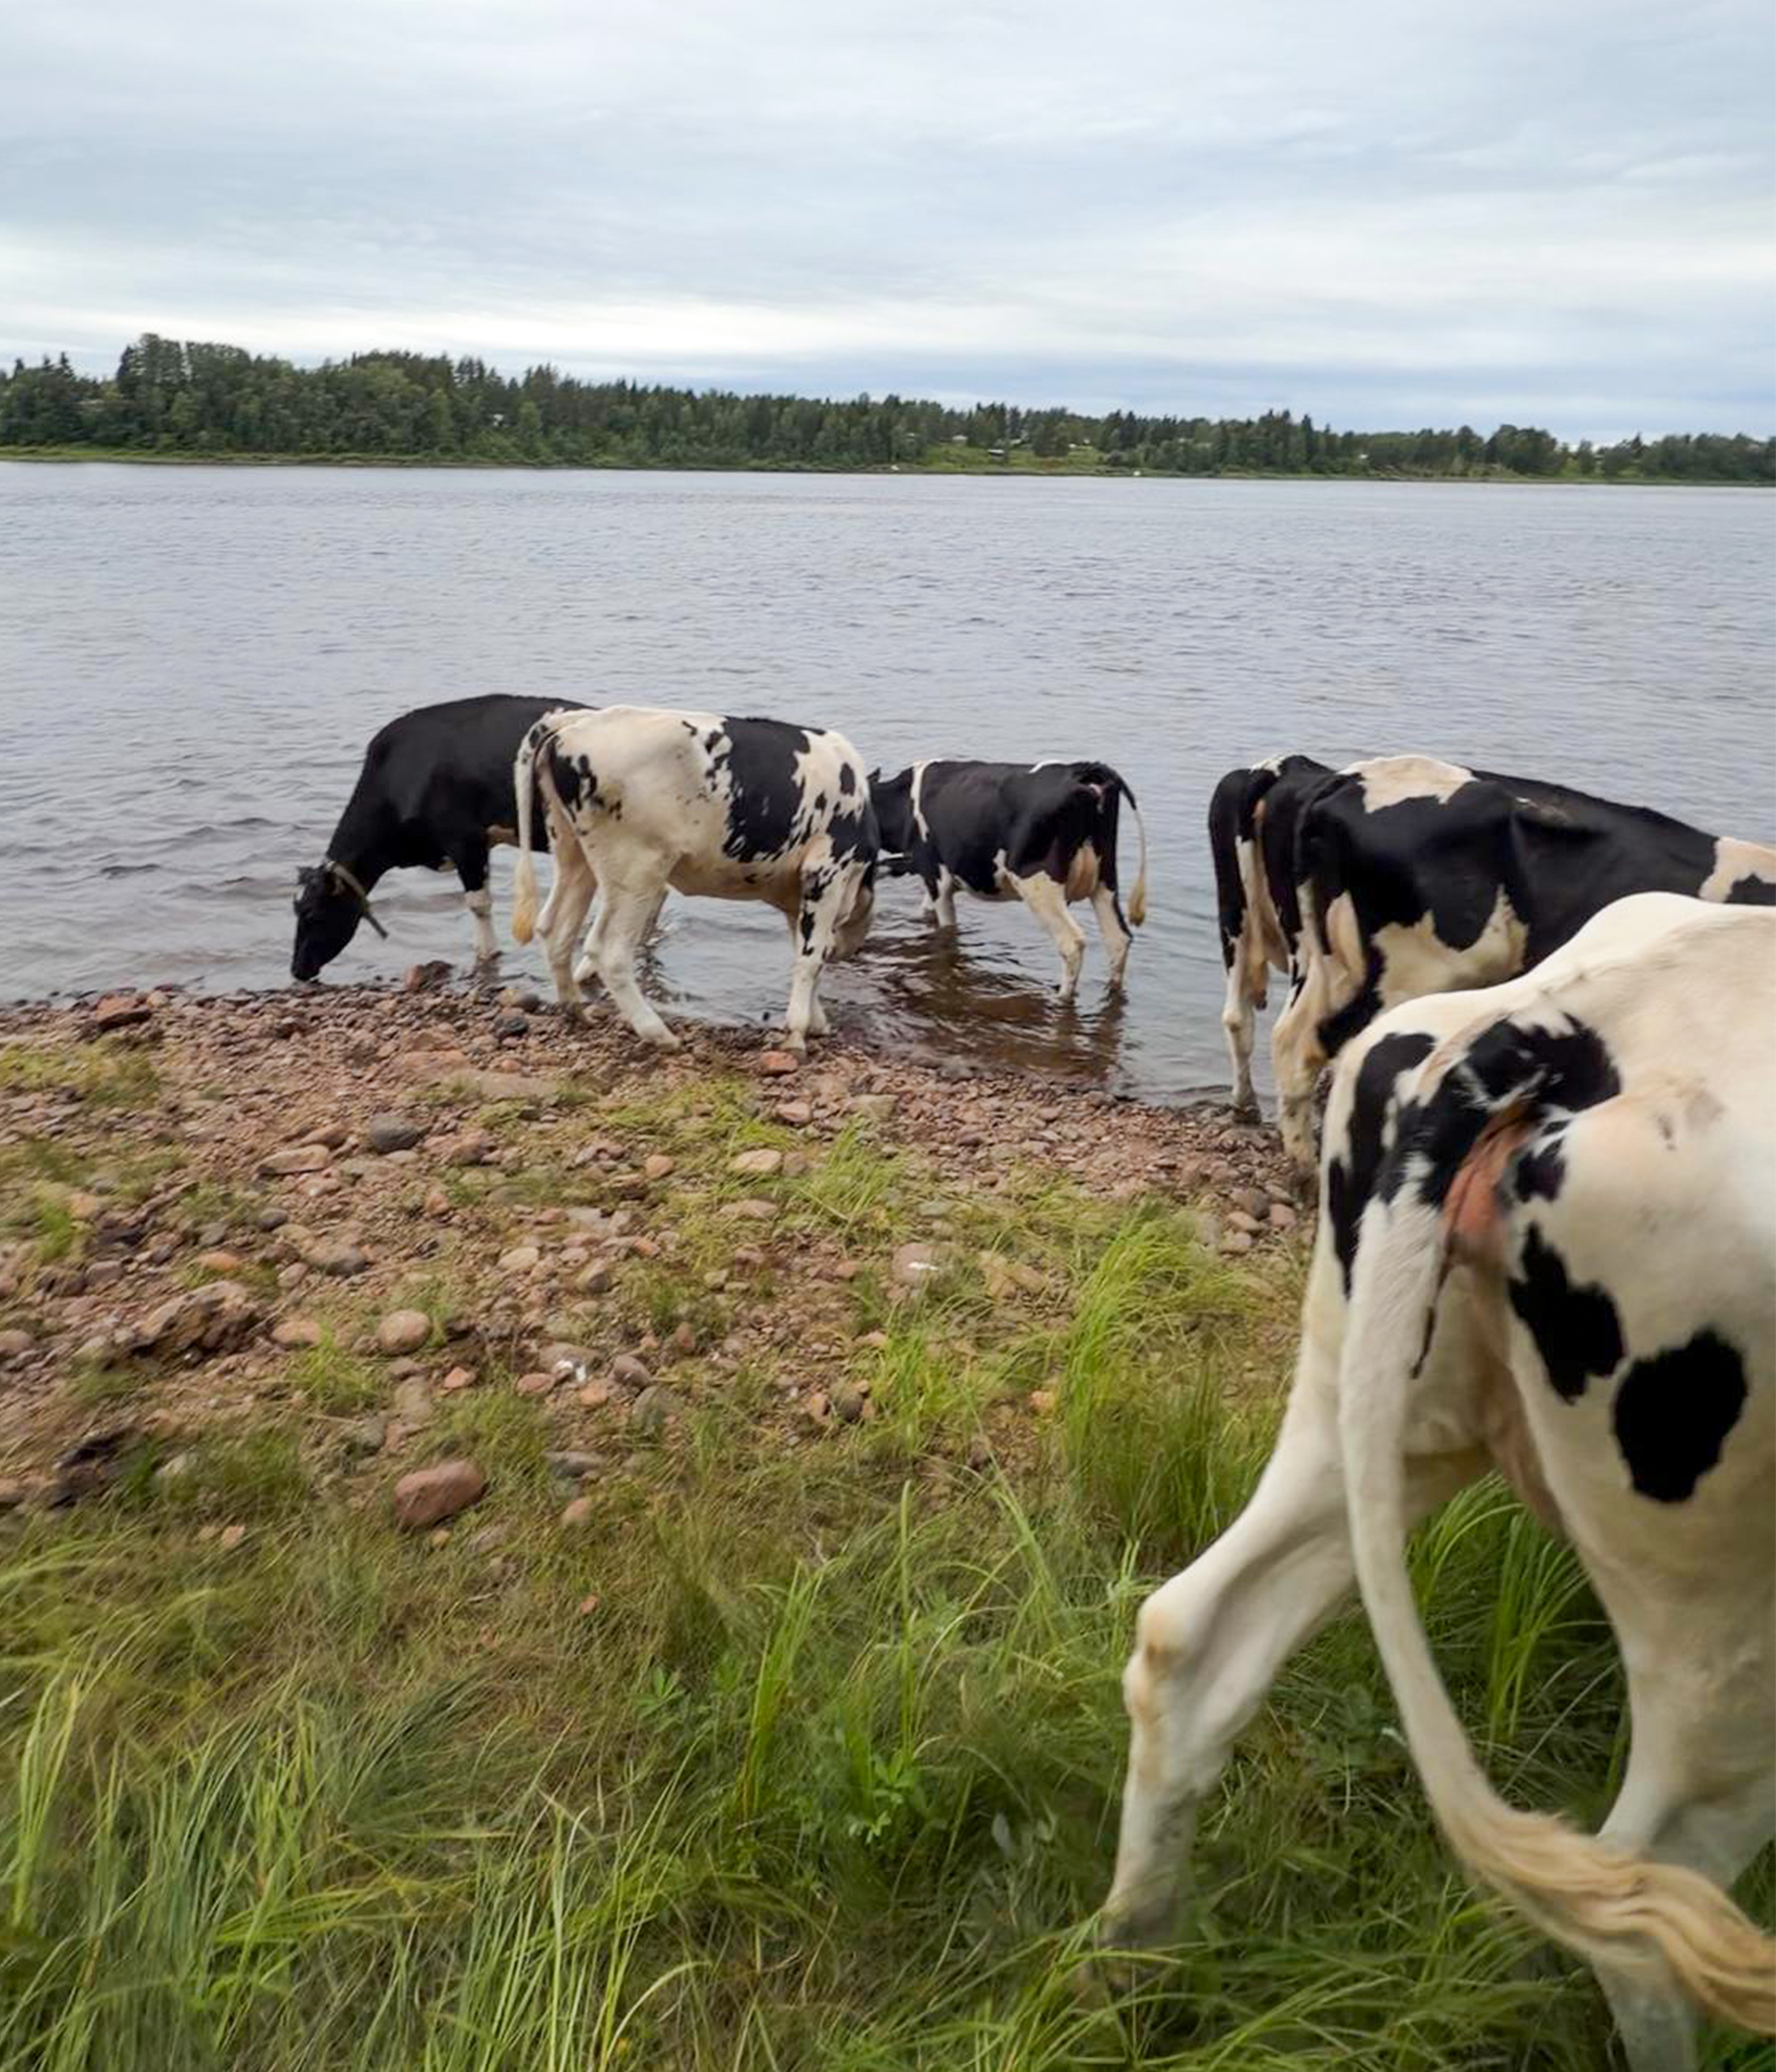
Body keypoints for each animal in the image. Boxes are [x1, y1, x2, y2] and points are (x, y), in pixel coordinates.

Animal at [291, 694, 587, 981]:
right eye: (296, 910)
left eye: (311, 913)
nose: (296, 969)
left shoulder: (465, 840)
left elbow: (478, 904)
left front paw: (486, 953)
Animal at [510, 705, 877, 1051]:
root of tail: (575, 724)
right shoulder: (827, 870)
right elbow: (811, 958)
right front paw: (799, 1032)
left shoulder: (798, 890)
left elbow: (805, 949)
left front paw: (816, 1021)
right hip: (637, 870)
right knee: (607, 952)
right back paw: (658, 1033)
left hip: (573, 853)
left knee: (554, 928)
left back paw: (575, 1011)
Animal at [868, 759, 1149, 1000]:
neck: (902, 802)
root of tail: (1081, 770)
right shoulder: (933, 870)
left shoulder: (934, 873)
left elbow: (946, 927)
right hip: (1105, 880)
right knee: (1118, 939)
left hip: (1037, 881)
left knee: (1072, 942)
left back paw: (1061, 998)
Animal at [1099, 893, 1776, 2070]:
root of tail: (1574, 1022)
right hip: (1731, 1625)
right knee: (1651, 1904)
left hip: (1369, 1405)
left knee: (1188, 1638)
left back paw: (1134, 1968)